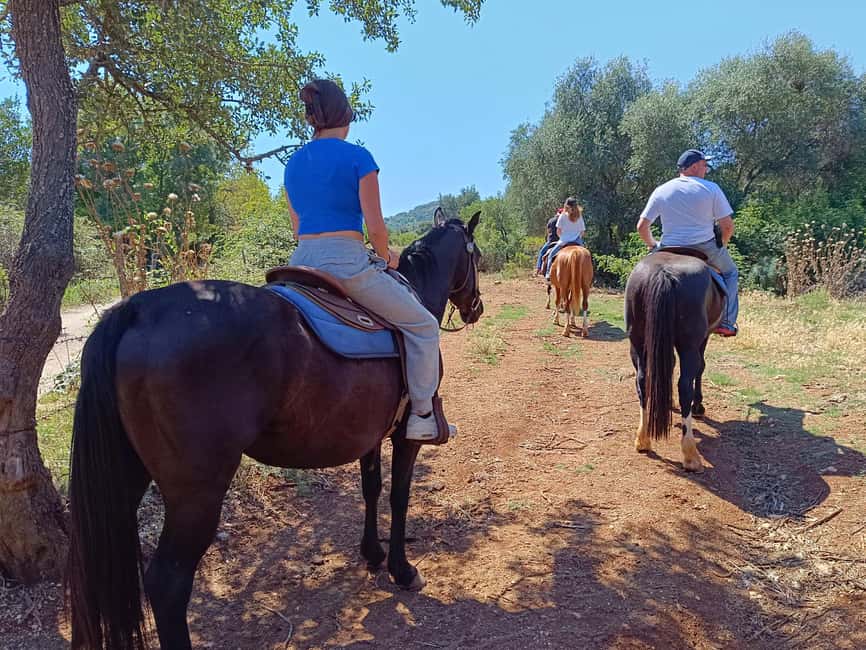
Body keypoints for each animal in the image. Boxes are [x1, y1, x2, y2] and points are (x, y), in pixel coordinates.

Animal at [66, 214, 483, 650]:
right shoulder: (405, 437)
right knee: (168, 584)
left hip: (126, 477)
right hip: (196, 495)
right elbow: (399, 497)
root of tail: (138, 309)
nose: (477, 308)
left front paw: (372, 553)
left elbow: (371, 489)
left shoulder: (369, 436)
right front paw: (402, 570)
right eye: (477, 257)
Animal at [624, 249, 724, 472]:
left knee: (642, 381)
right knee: (685, 386)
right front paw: (698, 406)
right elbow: (701, 368)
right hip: (689, 345)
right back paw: (690, 455)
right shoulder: (703, 338)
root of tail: (664, 274)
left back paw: (643, 439)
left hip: (638, 341)